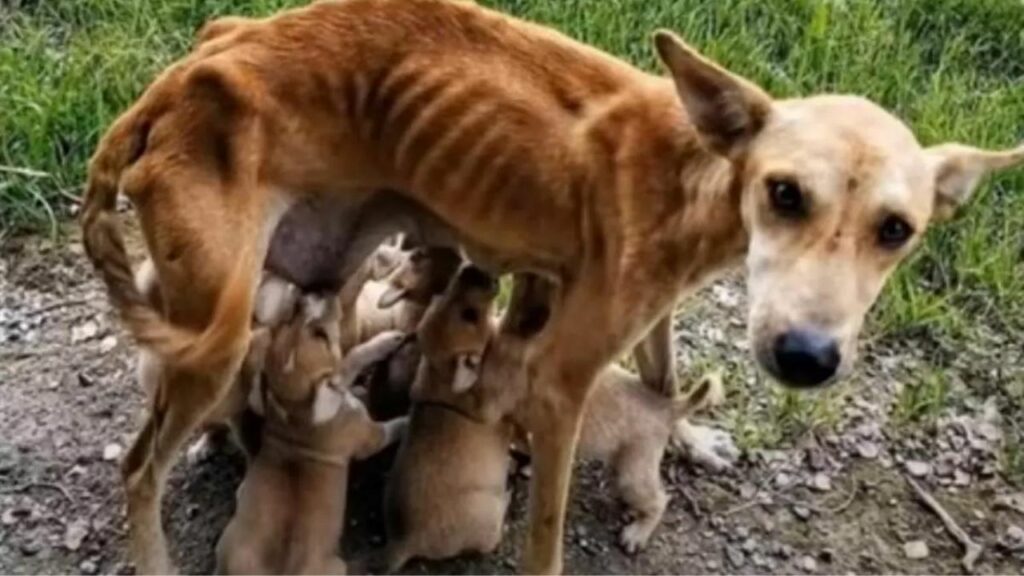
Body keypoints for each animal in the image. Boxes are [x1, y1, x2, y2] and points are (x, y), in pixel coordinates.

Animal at [217, 295, 407, 573]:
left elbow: (350, 360)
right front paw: (409, 418)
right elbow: (392, 426)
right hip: (337, 565)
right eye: (320, 335)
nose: (309, 297)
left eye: (288, 319)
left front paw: (384, 343)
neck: (295, 408)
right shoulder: (370, 437)